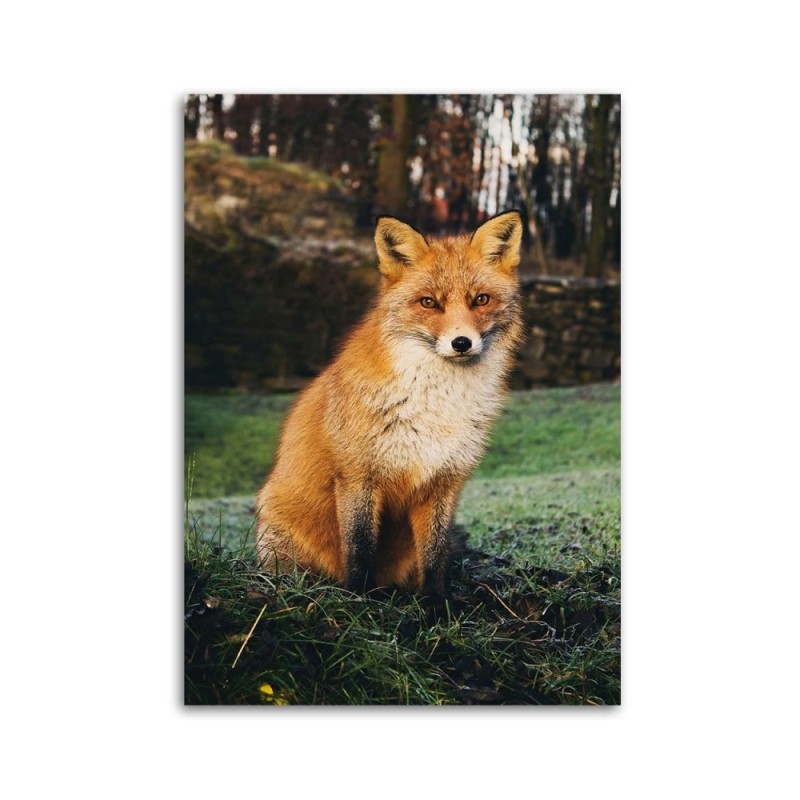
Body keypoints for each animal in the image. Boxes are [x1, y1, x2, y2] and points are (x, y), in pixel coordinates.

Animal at [255, 210, 525, 596]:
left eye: (481, 300)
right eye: (429, 302)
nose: (461, 343)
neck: (435, 406)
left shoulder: (444, 481)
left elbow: (435, 556)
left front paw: (436, 604)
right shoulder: (357, 477)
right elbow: (360, 549)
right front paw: (358, 599)